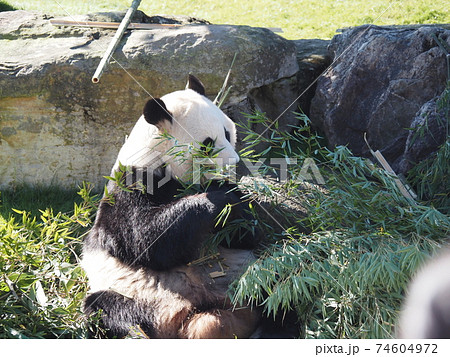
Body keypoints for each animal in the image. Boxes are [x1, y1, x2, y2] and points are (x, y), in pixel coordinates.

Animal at [81, 74, 296, 336]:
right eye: (207, 143)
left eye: (227, 132)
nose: (233, 163)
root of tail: (194, 316)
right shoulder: (129, 184)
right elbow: (143, 238)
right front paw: (220, 201)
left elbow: (246, 236)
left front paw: (236, 205)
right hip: (133, 295)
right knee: (107, 309)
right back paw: (136, 333)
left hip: (246, 276)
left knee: (281, 286)